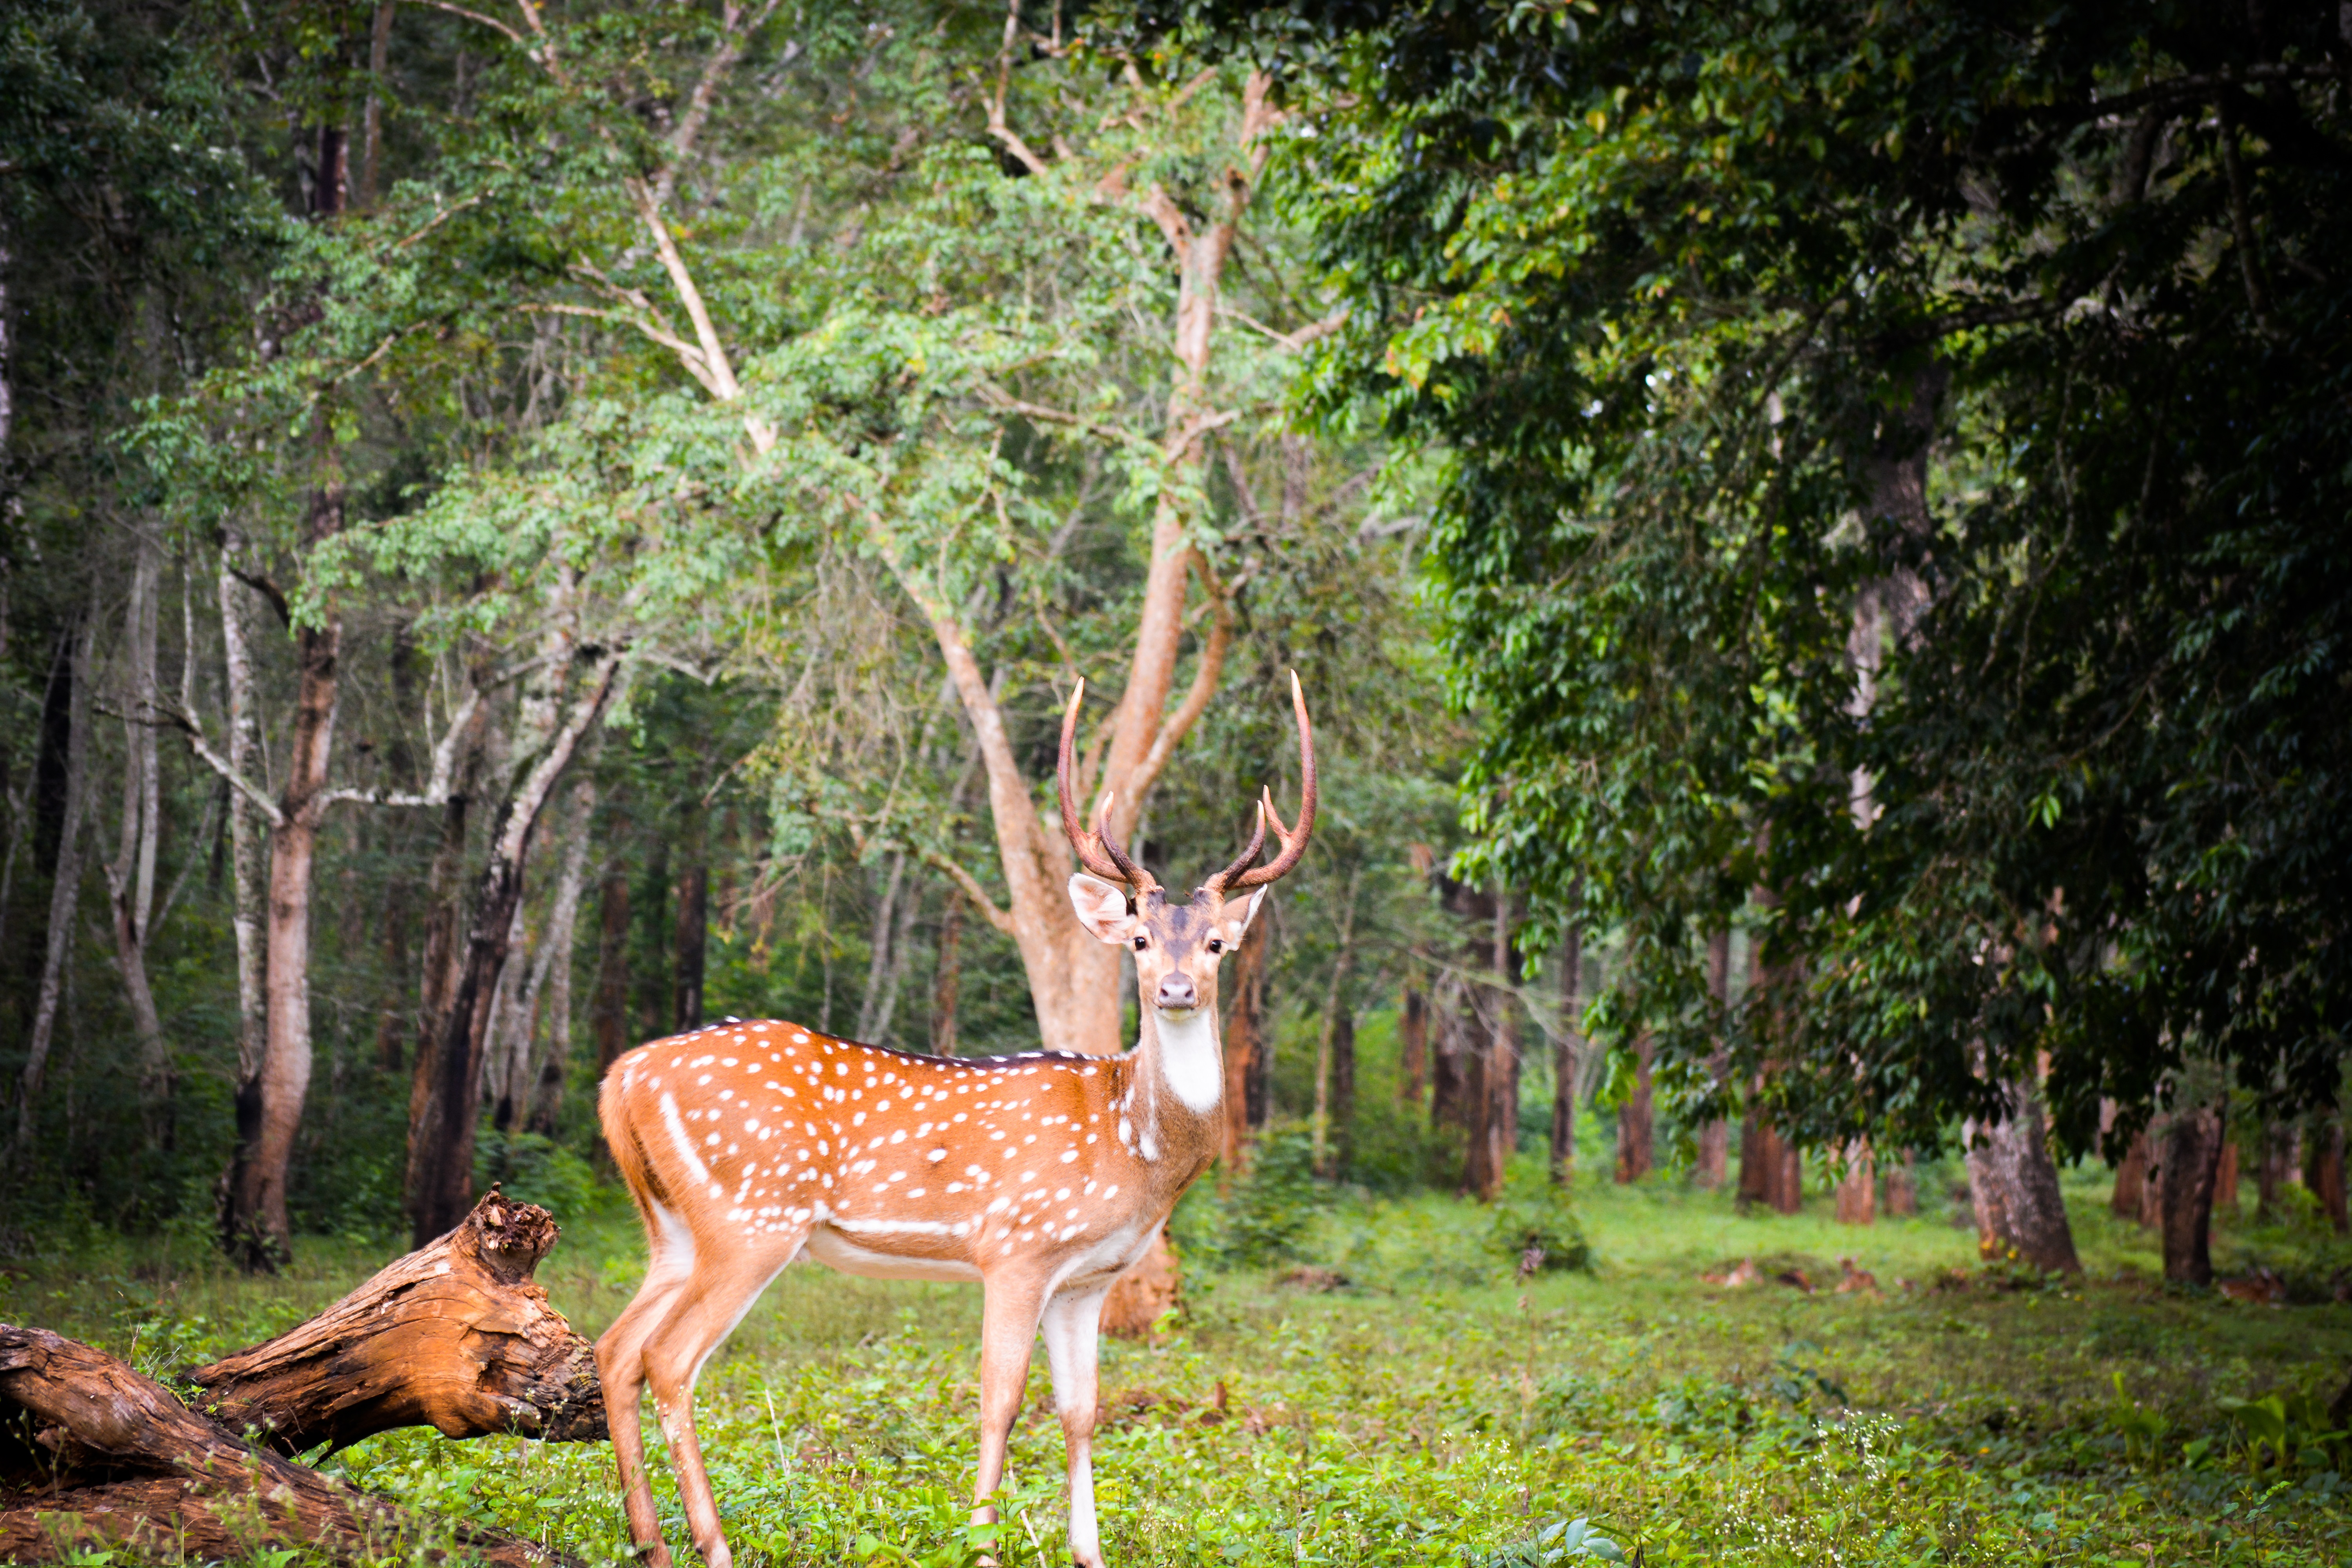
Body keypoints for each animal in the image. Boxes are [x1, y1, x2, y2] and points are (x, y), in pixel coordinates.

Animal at [597, 682, 1317, 1568]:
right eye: (1142, 940)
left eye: (1217, 942)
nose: (1177, 989)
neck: (1135, 1147)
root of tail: (620, 1077)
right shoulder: (1017, 1246)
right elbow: (1000, 1400)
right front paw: (982, 1545)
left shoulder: (1087, 1278)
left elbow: (1082, 1411)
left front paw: (1088, 1552)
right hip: (751, 1216)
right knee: (668, 1358)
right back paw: (713, 1544)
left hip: (671, 1224)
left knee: (616, 1348)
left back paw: (650, 1539)